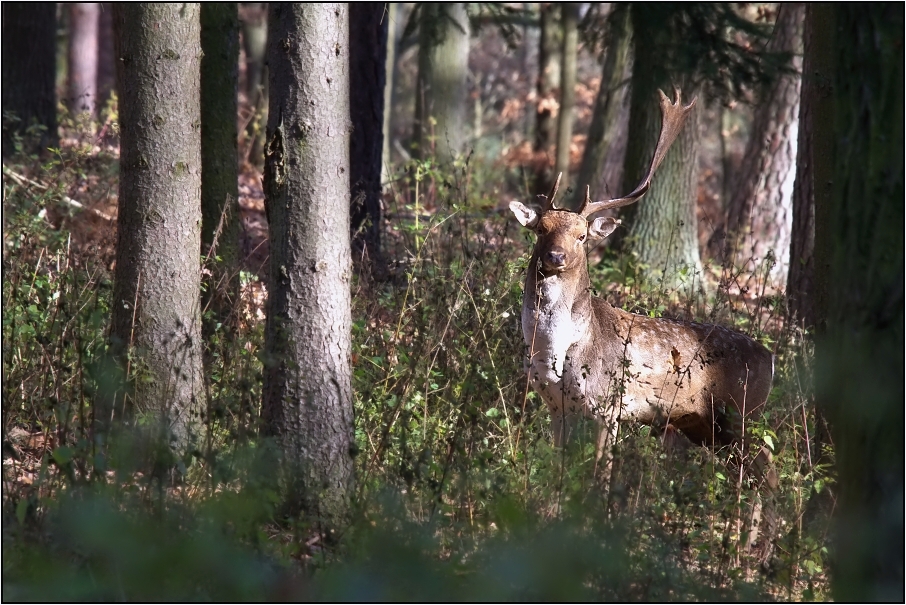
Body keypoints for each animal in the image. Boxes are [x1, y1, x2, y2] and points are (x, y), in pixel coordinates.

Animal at [508, 87, 776, 510]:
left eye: (582, 235)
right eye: (541, 229)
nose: (556, 257)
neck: (555, 351)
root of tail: (771, 357)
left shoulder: (608, 406)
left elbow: (599, 478)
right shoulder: (556, 407)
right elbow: (558, 474)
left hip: (743, 411)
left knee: (770, 472)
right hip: (707, 426)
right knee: (749, 475)